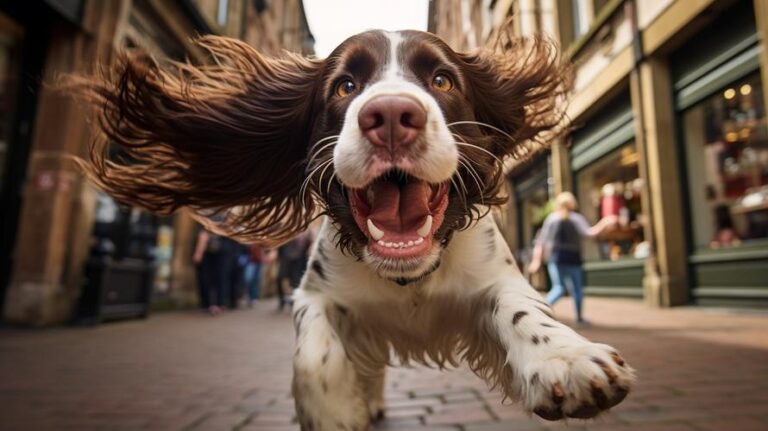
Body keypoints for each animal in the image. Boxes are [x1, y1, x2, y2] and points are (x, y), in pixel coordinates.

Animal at [72, 29, 636, 428]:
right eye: (346, 86)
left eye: (442, 80)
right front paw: (335, 411)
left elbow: (520, 310)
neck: (407, 276)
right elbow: (315, 355)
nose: (390, 115)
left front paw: (565, 359)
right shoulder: (314, 293)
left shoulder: (495, 275)